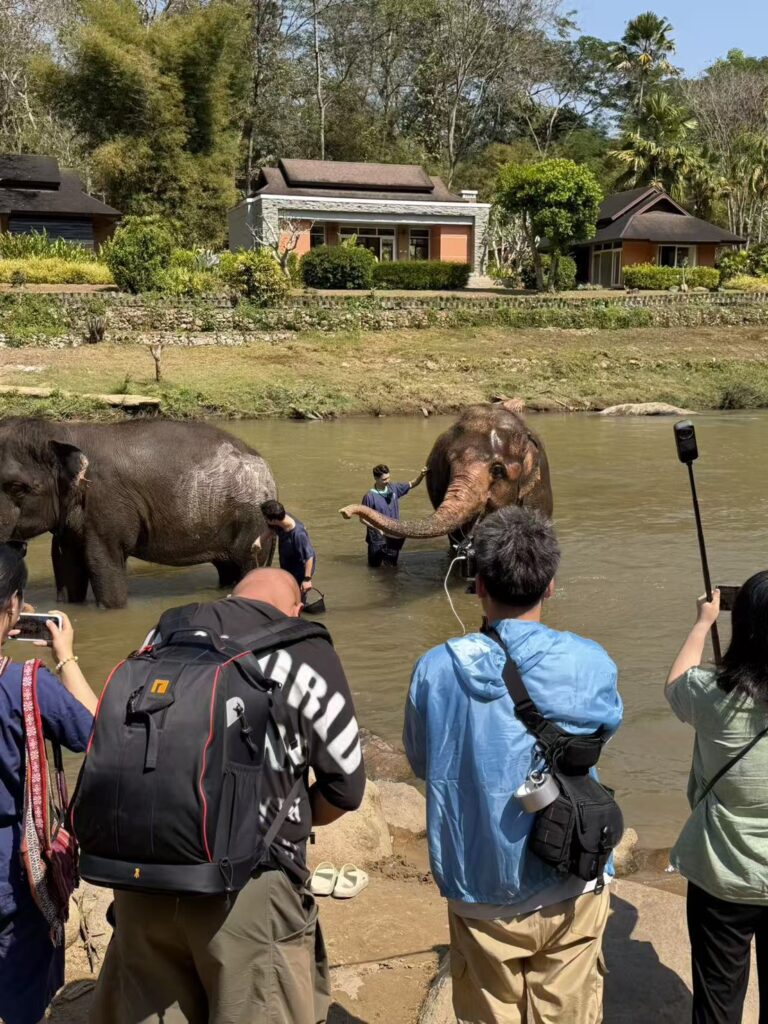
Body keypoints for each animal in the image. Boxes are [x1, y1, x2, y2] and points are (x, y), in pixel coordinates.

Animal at [0, 418, 278, 608]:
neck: (63, 433)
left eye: (16, 487)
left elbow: (102, 563)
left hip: (252, 521)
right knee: (227, 570)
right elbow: (67, 567)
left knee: (247, 567)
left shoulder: (107, 503)